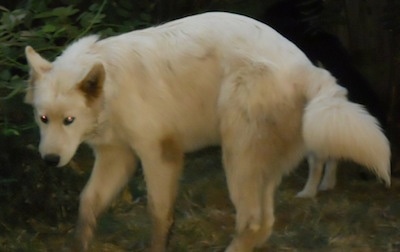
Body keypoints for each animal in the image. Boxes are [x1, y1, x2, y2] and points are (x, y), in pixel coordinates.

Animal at [24, 12, 388, 252]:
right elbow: (87, 203)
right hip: (261, 168)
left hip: (237, 157)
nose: (50, 160)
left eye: (69, 120)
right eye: (43, 119)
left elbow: (159, 215)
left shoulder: (160, 154)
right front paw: (80, 243)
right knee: (265, 223)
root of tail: (309, 68)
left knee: (252, 221)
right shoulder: (117, 156)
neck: (112, 87)